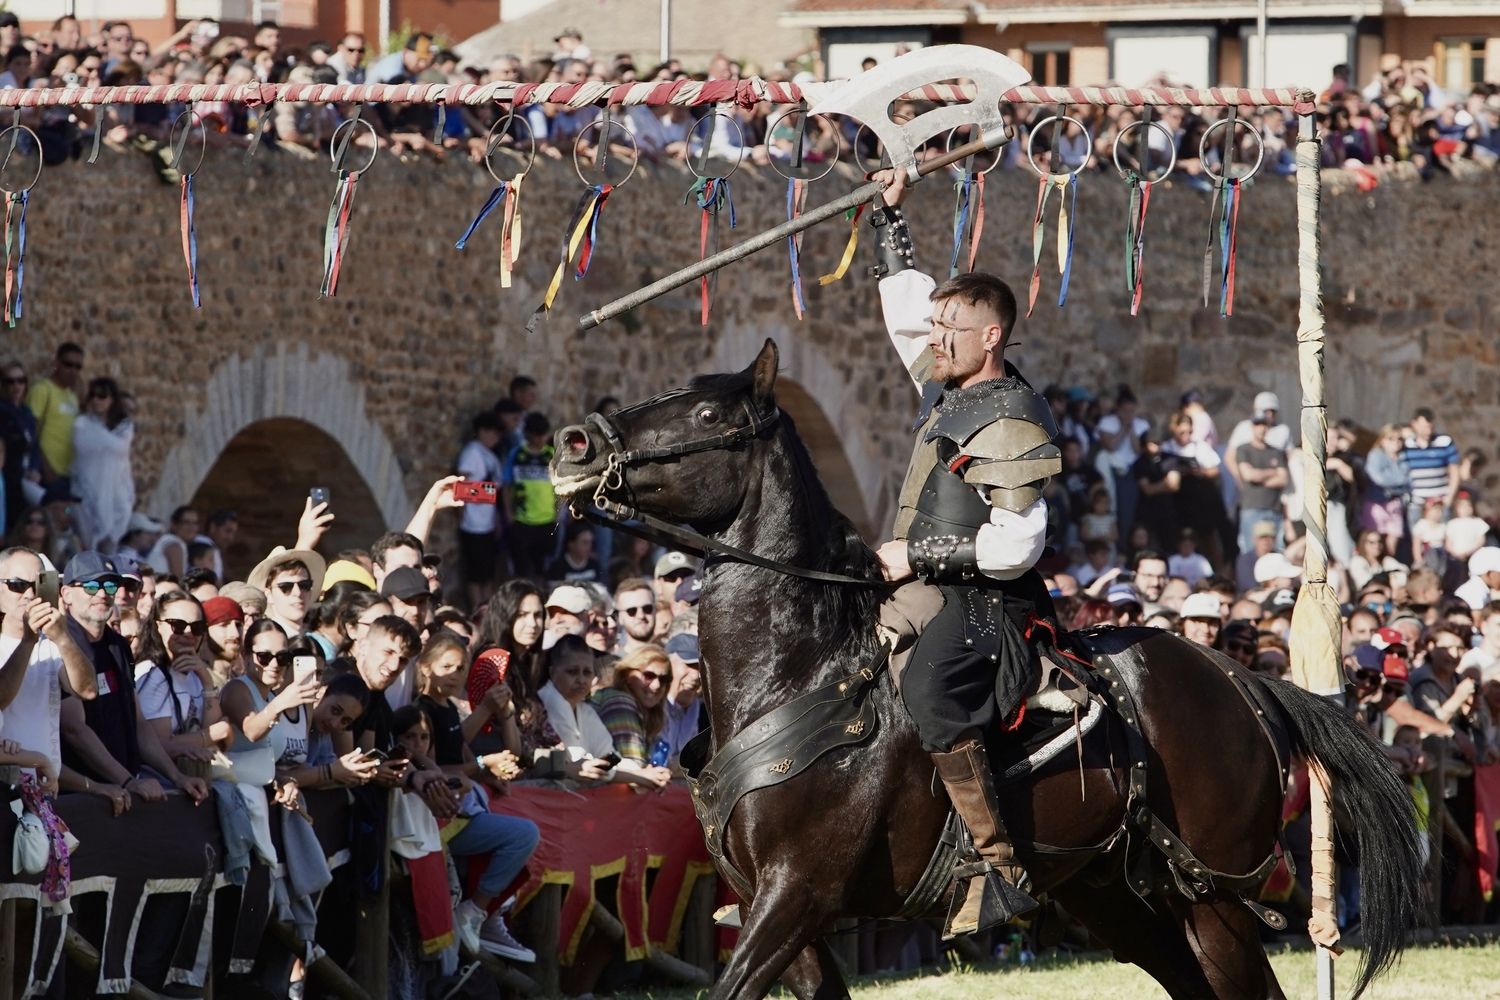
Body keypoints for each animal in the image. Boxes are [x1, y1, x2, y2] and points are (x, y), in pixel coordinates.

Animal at [552, 340, 1416, 995]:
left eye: (705, 415)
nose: (573, 445)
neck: (799, 674)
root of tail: (1242, 681)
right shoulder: (785, 920)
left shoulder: (796, 896)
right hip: (1116, 897)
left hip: (1213, 898)